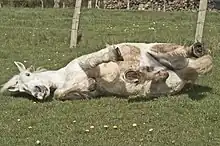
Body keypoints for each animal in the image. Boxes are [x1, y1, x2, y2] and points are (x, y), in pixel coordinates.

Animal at [0, 42, 213, 100]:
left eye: (28, 75)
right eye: (22, 90)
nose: (39, 93)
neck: (64, 76)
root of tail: (188, 73)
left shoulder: (84, 63)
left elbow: (93, 60)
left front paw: (113, 53)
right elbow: (61, 93)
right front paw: (89, 85)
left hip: (160, 51)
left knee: (187, 53)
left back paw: (195, 49)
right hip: (156, 87)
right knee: (160, 76)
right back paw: (136, 75)